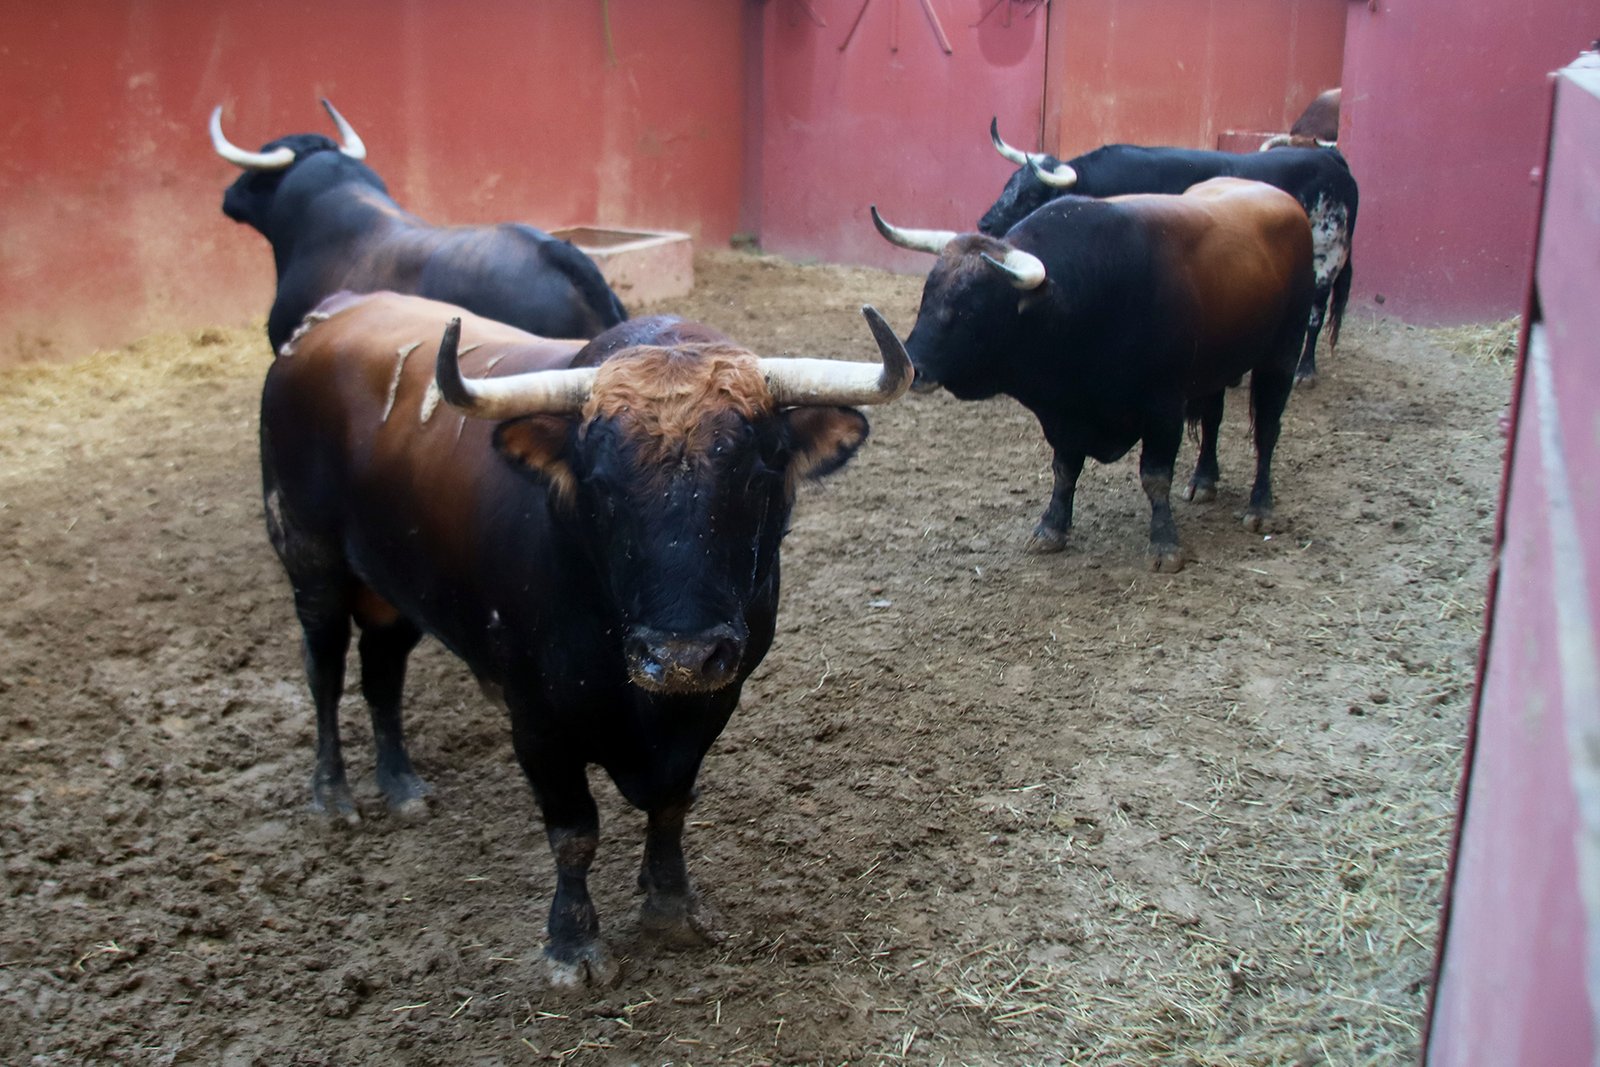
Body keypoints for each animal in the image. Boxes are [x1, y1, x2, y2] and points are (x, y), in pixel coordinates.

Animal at [262, 289, 915, 985]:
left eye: (756, 476)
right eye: (601, 485)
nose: (679, 656)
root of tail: (333, 316)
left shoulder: (715, 698)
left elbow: (672, 804)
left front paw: (670, 906)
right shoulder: (537, 722)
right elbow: (574, 833)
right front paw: (572, 943)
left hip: (392, 591)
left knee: (383, 674)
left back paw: (401, 785)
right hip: (310, 562)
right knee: (326, 674)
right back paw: (332, 794)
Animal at [876, 177, 1312, 575]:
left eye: (972, 307)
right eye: (928, 295)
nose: (915, 367)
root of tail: (1286, 202)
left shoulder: (1164, 406)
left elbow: (1155, 476)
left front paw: (1165, 545)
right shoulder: (1064, 413)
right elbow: (1065, 469)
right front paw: (1052, 528)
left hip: (1281, 355)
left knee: (1267, 431)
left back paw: (1261, 506)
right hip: (1216, 367)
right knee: (1213, 419)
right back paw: (1204, 480)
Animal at [979, 119, 1356, 383]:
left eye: (1030, 195)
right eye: (1008, 185)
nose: (985, 224)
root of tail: (1333, 159)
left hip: (1328, 256)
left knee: (1316, 313)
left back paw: (1305, 369)